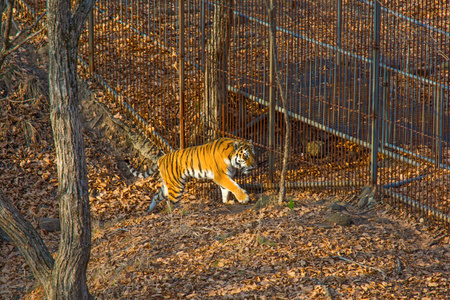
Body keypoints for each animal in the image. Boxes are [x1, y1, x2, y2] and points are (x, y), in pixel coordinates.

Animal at [125, 137, 256, 212]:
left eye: (253, 154)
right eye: (245, 156)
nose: (255, 165)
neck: (231, 159)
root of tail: (161, 158)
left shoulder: (226, 176)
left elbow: (226, 189)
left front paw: (227, 202)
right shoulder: (221, 176)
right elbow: (233, 186)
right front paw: (244, 198)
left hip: (168, 186)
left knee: (156, 196)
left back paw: (149, 211)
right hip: (176, 187)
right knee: (170, 204)